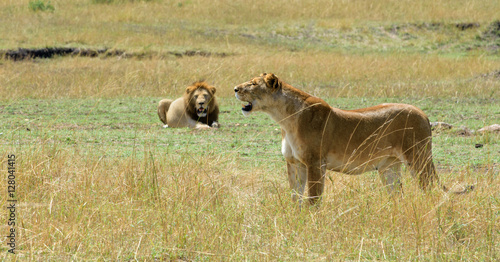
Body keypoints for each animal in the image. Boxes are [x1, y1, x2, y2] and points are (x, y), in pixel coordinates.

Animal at [234, 73, 472, 205]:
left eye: (253, 84)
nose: (235, 88)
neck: (284, 118)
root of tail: (423, 113)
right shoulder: (294, 163)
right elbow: (295, 196)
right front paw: (295, 218)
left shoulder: (315, 163)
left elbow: (313, 199)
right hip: (389, 167)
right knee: (398, 196)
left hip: (418, 159)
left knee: (430, 190)